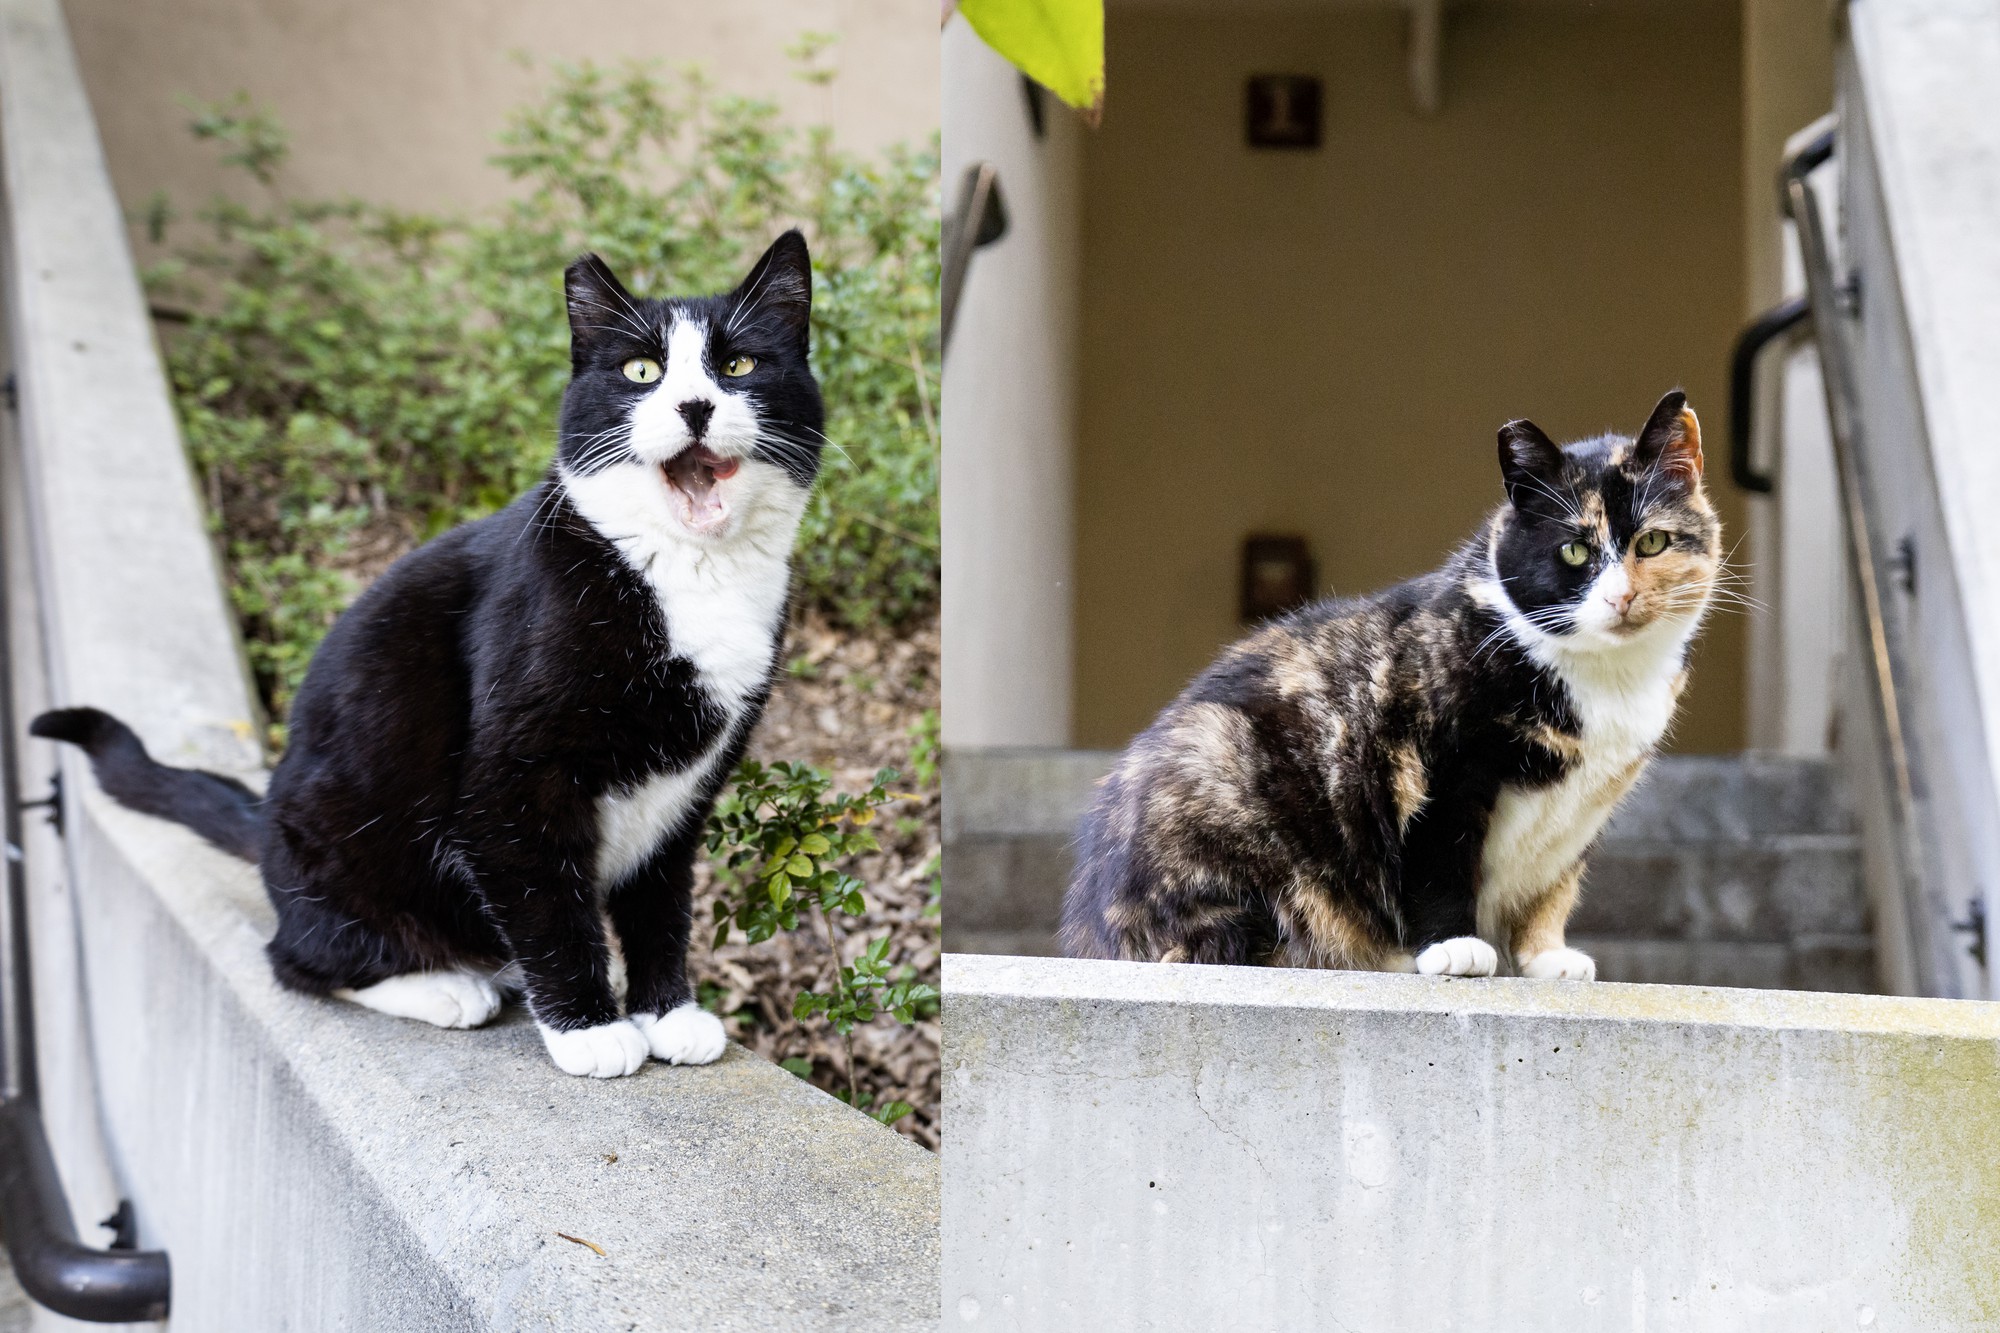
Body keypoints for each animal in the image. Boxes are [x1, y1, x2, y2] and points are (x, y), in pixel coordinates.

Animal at [29, 233, 820, 1072]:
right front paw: (589, 1028)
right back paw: (447, 986)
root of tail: (267, 817)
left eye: (739, 364)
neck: (687, 574)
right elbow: (547, 898)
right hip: (337, 839)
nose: (695, 405)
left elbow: (660, 898)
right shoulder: (512, 780)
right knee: (297, 960)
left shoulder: (686, 793)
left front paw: (667, 1011)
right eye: (642, 371)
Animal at [1064, 384, 1720, 976]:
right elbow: (1439, 862)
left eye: (1652, 541)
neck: (1603, 678)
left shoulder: (1583, 817)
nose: (1621, 597)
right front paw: (1455, 948)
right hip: (1220, 786)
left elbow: (1554, 885)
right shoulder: (1431, 765)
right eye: (1574, 551)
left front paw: (1546, 957)